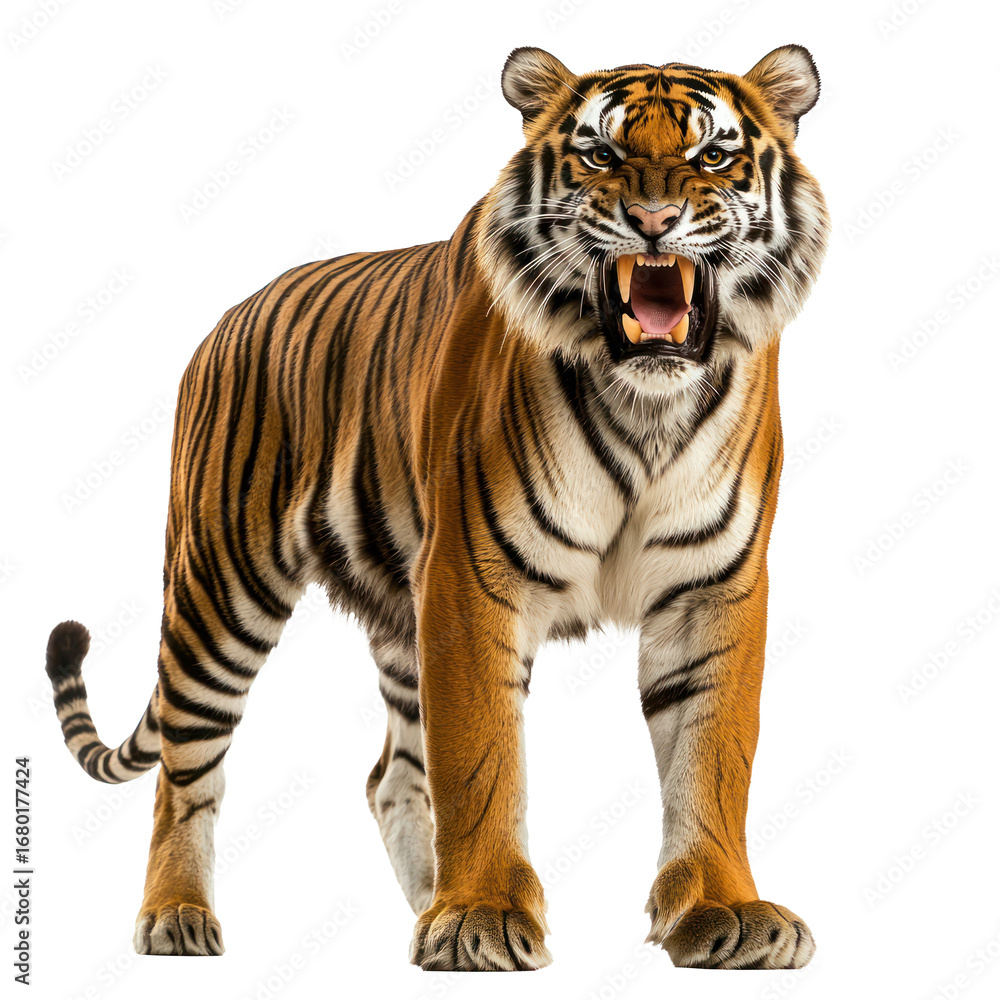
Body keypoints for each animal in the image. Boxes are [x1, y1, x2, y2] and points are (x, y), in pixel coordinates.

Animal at [45, 44, 829, 970]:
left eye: (712, 157)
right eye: (601, 154)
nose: (654, 219)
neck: (647, 403)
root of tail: (224, 322)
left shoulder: (714, 587)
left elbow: (713, 756)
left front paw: (724, 912)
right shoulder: (471, 579)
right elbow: (481, 761)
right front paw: (482, 914)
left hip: (396, 618)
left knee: (389, 778)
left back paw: (424, 904)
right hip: (221, 587)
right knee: (185, 768)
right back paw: (177, 916)